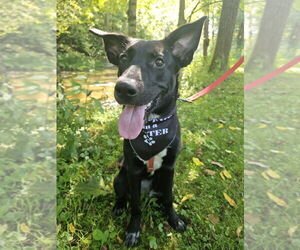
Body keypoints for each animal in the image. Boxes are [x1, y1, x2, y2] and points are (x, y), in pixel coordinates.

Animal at [89, 16, 206, 247]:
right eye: (123, 58)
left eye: (159, 62)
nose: (124, 88)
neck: (153, 127)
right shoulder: (133, 172)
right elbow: (135, 207)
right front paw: (133, 230)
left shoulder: (170, 169)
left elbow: (169, 200)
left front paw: (174, 220)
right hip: (120, 178)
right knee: (123, 196)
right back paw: (119, 206)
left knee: (162, 197)